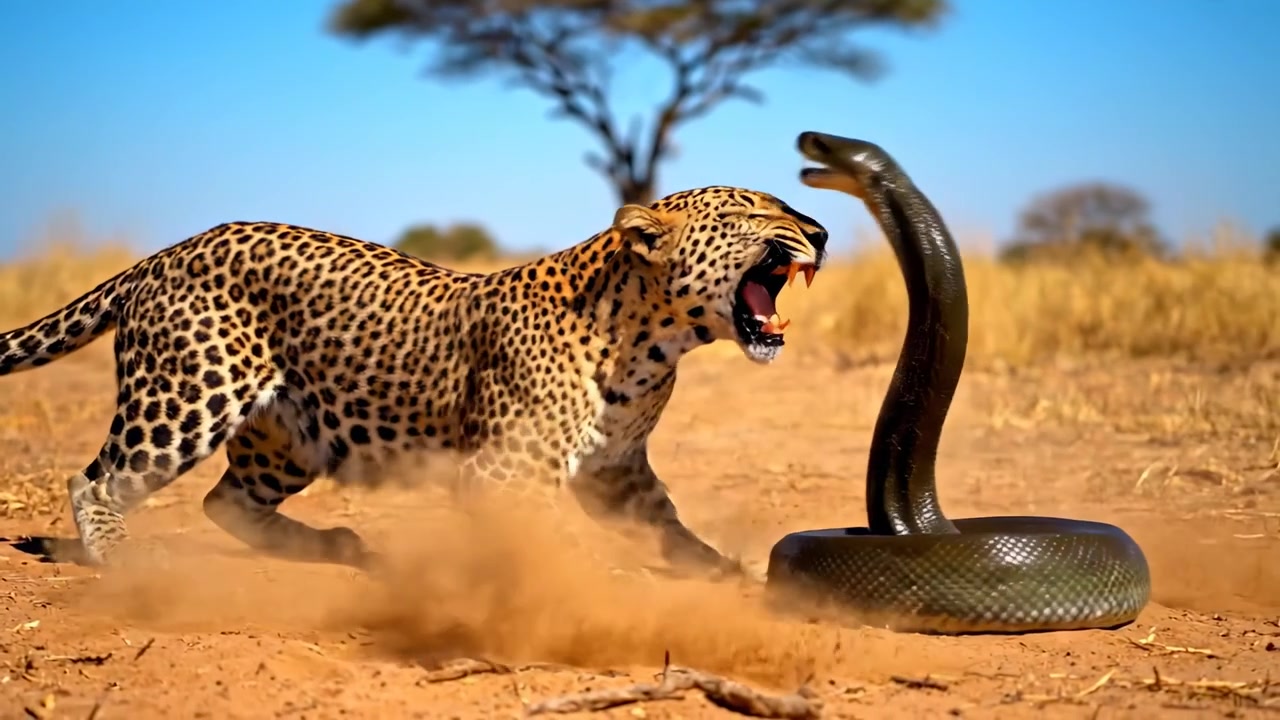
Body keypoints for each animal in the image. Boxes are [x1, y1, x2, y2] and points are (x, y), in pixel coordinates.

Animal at [0, 186, 828, 576]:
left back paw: (340, 548)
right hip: (187, 393)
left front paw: (715, 569)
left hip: (288, 438)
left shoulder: (616, 468)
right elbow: (540, 538)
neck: (651, 343)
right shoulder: (506, 470)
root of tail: (168, 250)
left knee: (225, 501)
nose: (819, 233)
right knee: (97, 481)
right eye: (752, 210)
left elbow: (664, 523)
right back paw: (123, 560)